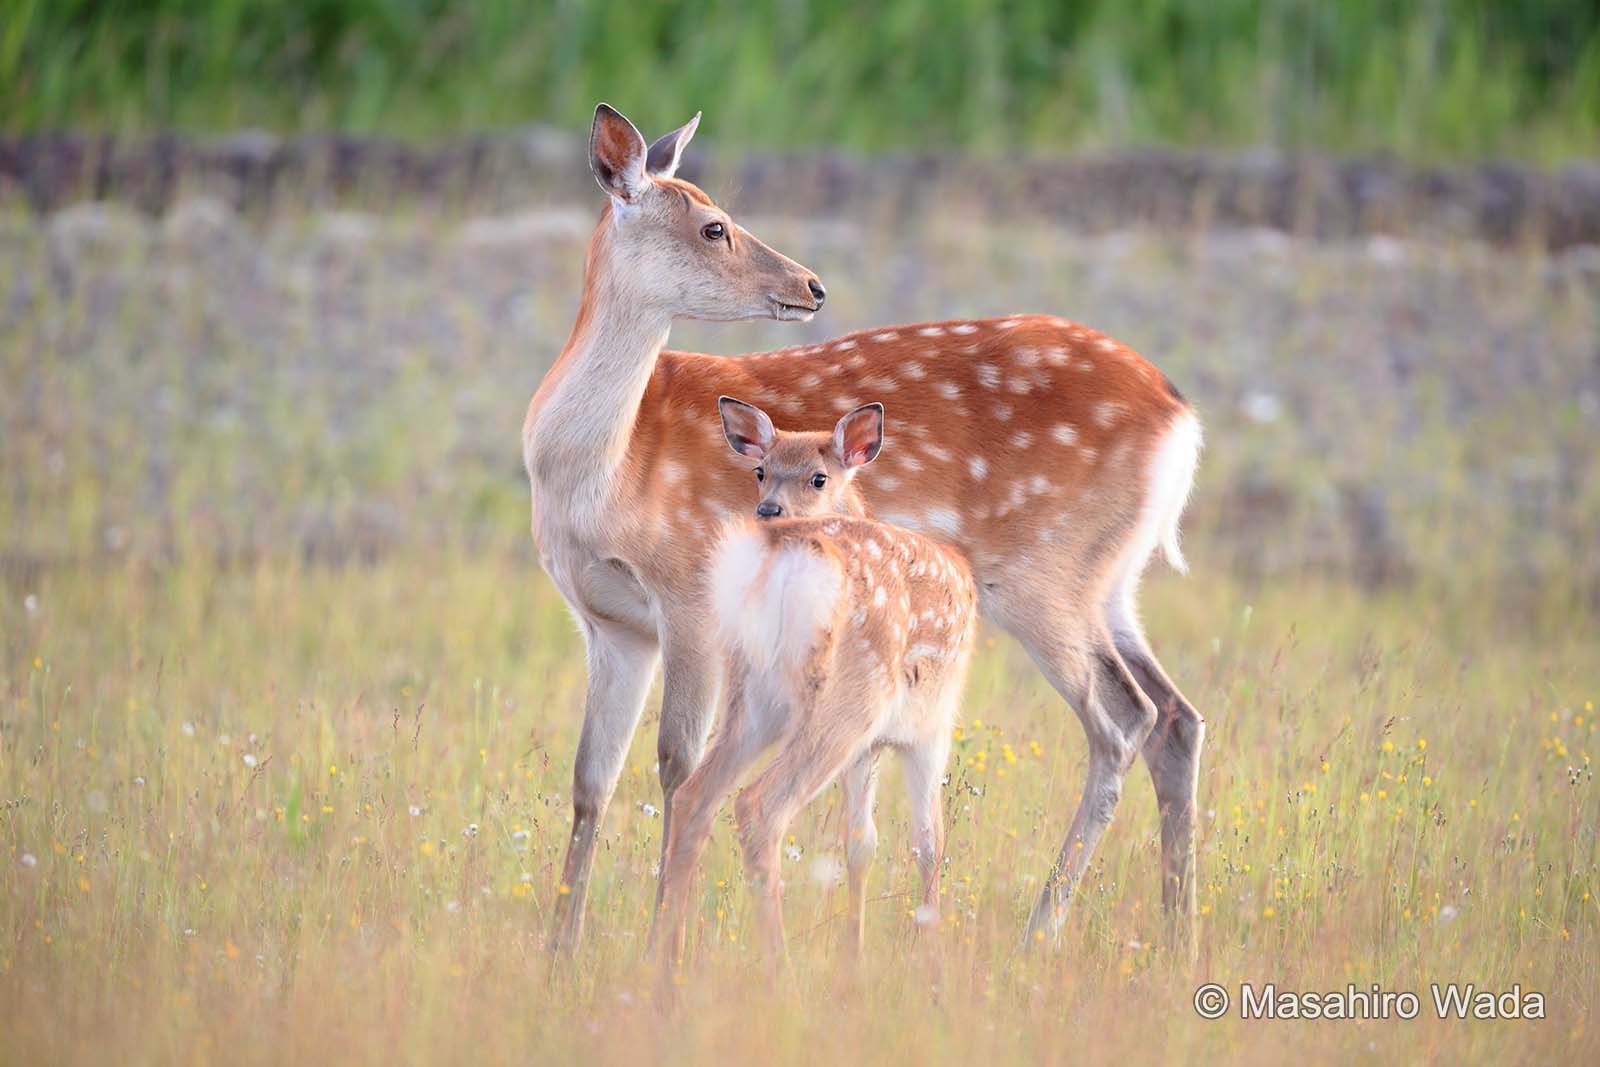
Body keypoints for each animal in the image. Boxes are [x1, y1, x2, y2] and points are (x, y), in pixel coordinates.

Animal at [521, 103, 1203, 953]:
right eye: (714, 226)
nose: (810, 284)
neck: (603, 474)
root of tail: (1182, 418)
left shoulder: (688, 596)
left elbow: (675, 768)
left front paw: (659, 945)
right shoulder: (610, 621)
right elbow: (591, 779)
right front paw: (560, 953)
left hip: (1043, 572)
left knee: (1122, 719)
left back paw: (1041, 929)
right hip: (1110, 577)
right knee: (1177, 716)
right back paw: (1178, 930)